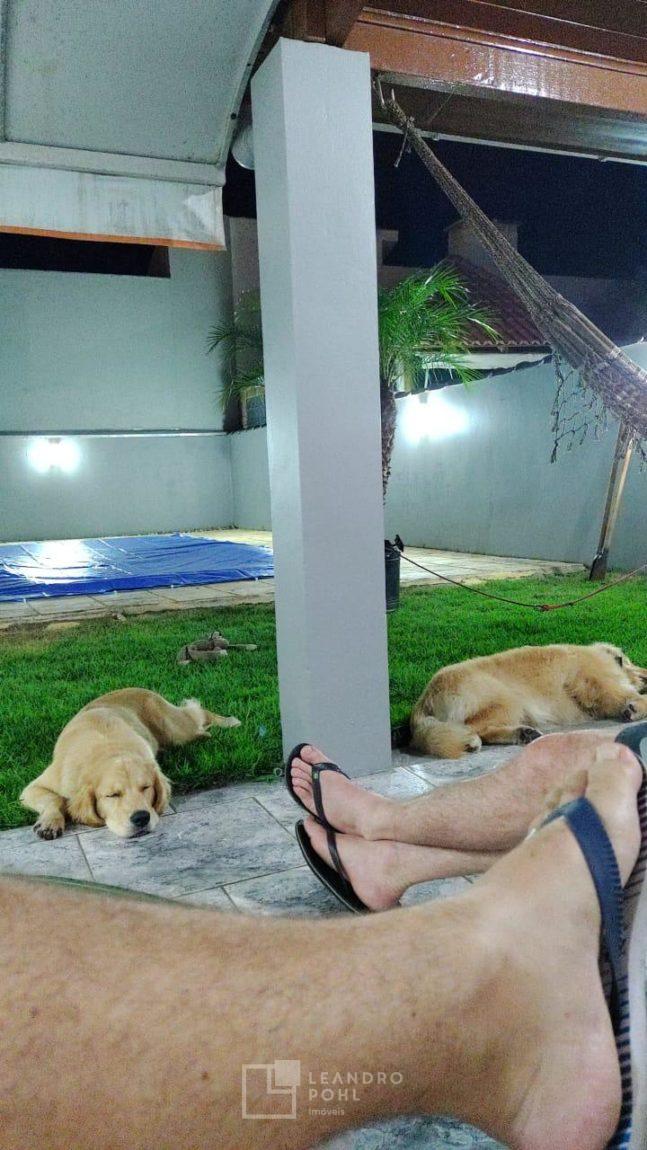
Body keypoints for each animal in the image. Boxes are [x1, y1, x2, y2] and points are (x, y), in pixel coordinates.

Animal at [20, 688, 241, 839]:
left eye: (146, 787)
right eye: (112, 795)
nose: (141, 818)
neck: (108, 750)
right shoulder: (32, 788)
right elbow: (54, 799)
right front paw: (49, 823)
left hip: (177, 731)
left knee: (200, 717)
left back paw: (229, 722)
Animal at [409, 642, 647, 758]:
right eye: (631, 662)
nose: (645, 673)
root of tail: (423, 701)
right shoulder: (603, 684)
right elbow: (631, 696)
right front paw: (637, 706)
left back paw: (523, 733)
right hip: (507, 698)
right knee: (475, 727)